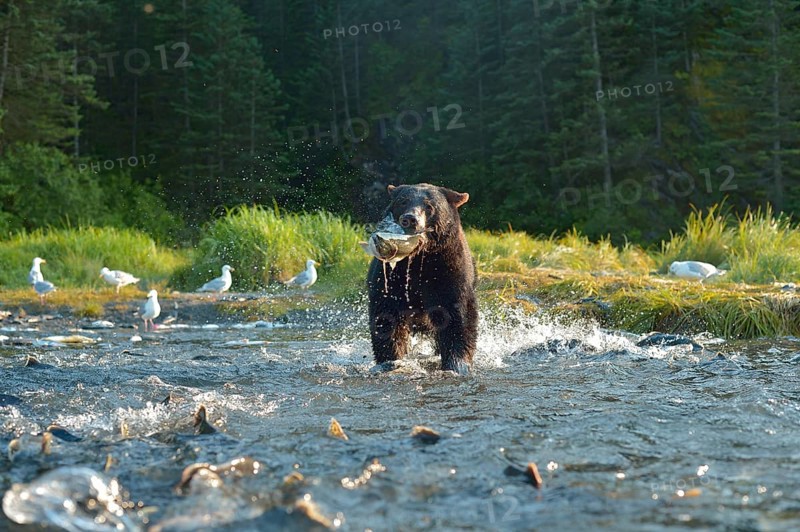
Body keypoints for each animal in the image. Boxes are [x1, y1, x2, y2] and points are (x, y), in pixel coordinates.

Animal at [367, 183, 478, 374]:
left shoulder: (447, 271)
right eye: (403, 201)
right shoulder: (392, 277)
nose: (410, 219)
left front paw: (457, 365)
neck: (418, 259)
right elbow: (386, 319)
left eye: (429, 206)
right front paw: (391, 361)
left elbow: (458, 319)